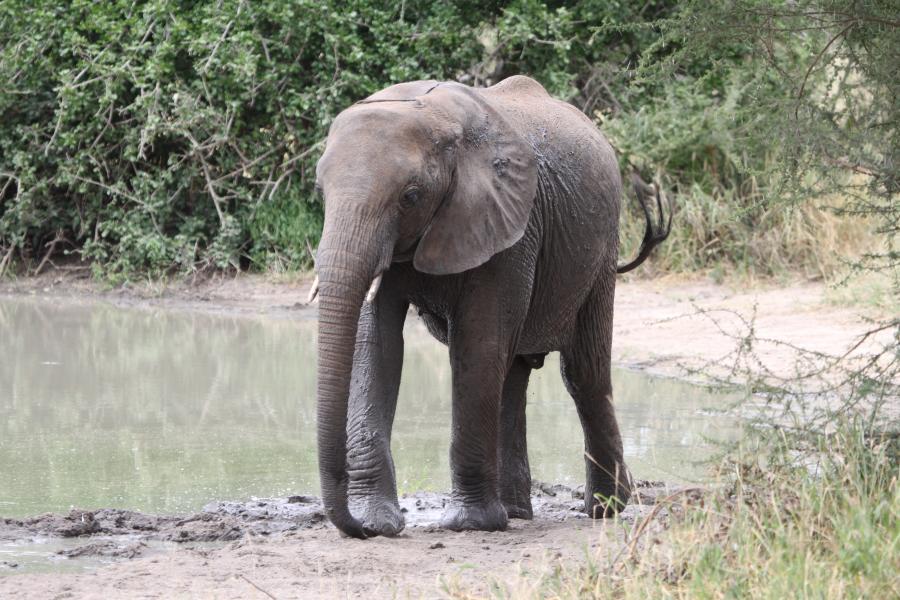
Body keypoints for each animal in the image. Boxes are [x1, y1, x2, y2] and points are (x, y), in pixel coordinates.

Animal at [310, 75, 669, 539]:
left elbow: (478, 342)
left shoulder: (509, 220)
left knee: (582, 375)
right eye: (320, 192)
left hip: (601, 251)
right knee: (513, 376)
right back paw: (516, 512)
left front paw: (467, 525)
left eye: (411, 196)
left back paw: (604, 509)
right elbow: (375, 345)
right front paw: (380, 522)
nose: (359, 530)